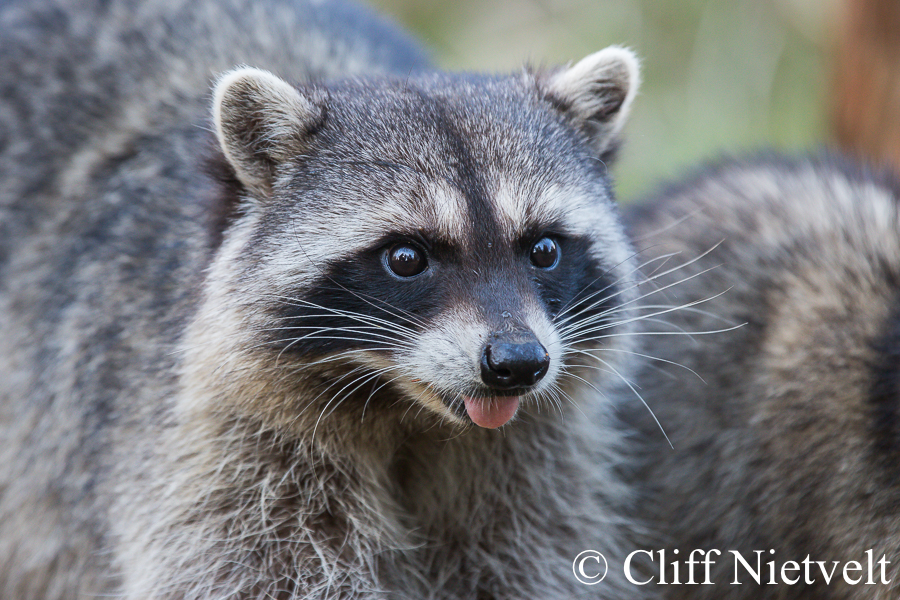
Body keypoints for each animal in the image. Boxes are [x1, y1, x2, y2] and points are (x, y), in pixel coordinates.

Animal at [0, 1, 648, 600]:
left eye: (544, 249)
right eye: (406, 258)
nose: (517, 363)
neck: (409, 416)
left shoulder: (529, 467)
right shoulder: (210, 451)